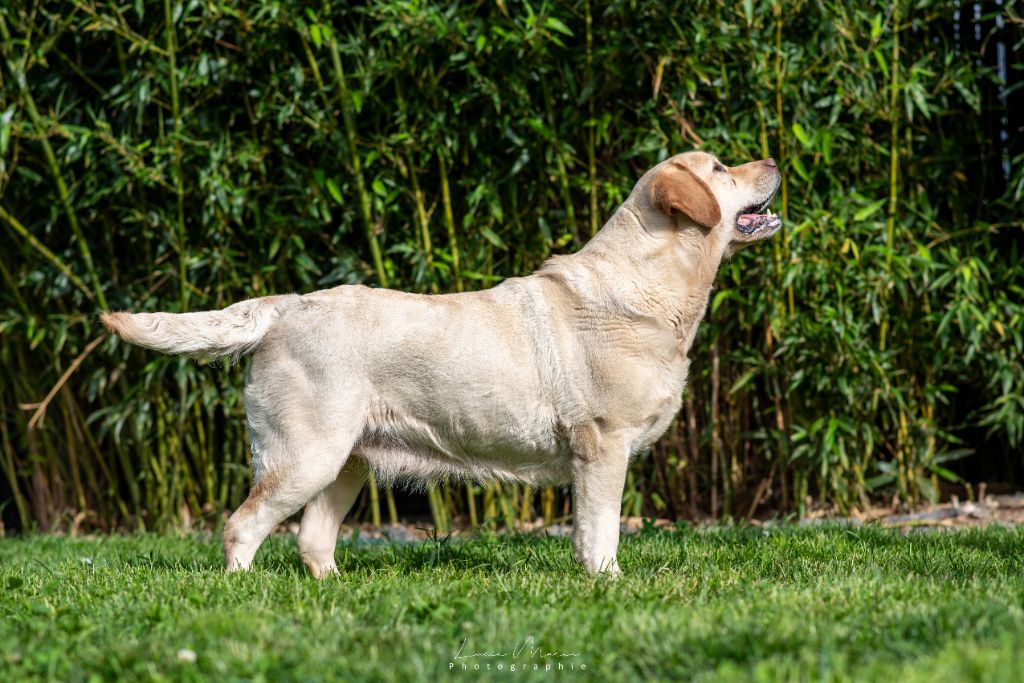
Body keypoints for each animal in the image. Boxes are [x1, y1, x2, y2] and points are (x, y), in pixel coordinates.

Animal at [101, 152, 774, 573]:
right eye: (720, 168)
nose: (772, 161)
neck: (651, 288)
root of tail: (287, 305)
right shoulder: (601, 446)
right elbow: (601, 529)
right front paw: (606, 582)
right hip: (304, 454)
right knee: (242, 526)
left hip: (345, 463)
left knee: (314, 541)